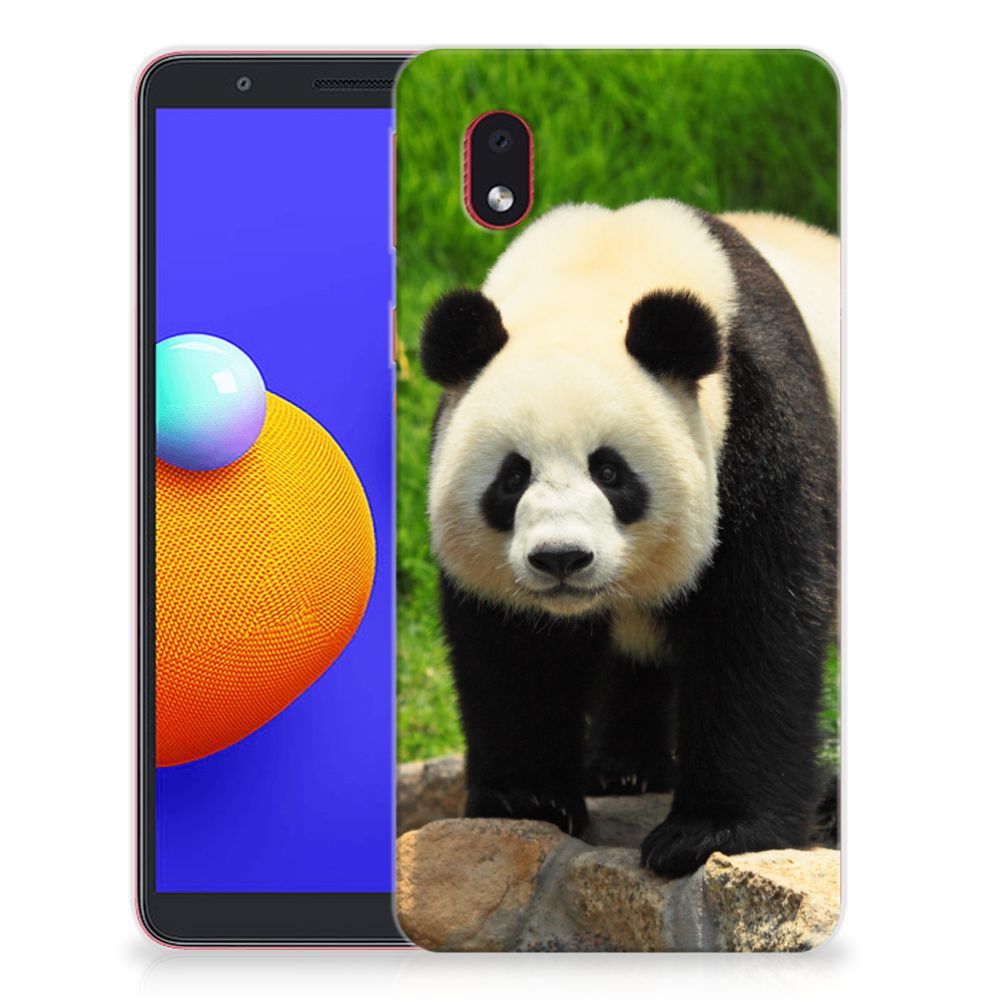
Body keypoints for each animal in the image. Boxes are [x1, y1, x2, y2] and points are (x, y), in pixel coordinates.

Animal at [418, 199, 839, 878]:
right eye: (513, 476)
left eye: (610, 472)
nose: (561, 558)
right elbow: (515, 648)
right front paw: (526, 799)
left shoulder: (759, 421)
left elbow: (756, 624)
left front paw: (710, 832)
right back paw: (623, 769)